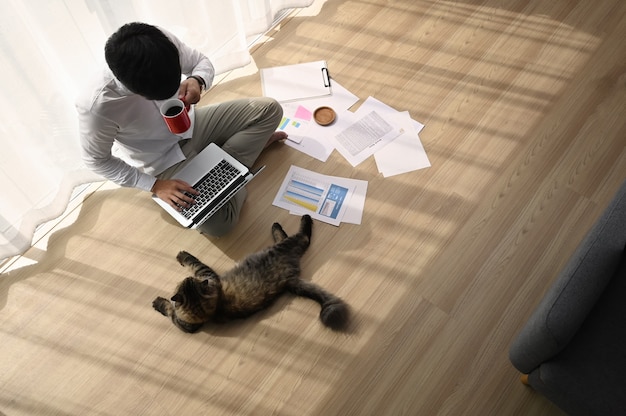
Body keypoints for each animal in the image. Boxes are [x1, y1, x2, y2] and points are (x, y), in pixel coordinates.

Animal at [150, 216, 346, 334]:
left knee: (303, 236)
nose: (188, 279)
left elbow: (192, 264)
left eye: (186, 280)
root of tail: (289, 281)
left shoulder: (207, 275)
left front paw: (181, 256)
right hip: (283, 248)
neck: (207, 310)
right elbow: (169, 309)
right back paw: (276, 226)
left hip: (284, 246)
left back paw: (303, 218)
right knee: (288, 237)